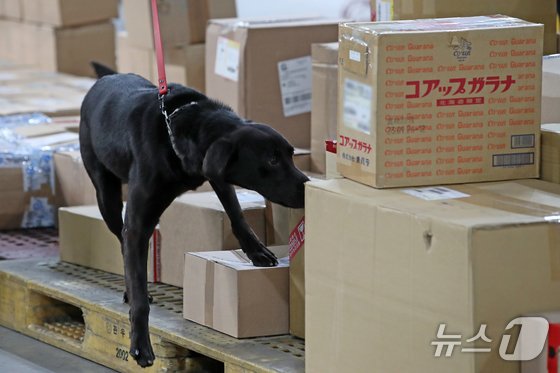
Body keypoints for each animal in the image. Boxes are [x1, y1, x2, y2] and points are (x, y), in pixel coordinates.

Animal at [79, 64, 308, 366]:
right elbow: (139, 294)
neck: (180, 128)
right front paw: (141, 344)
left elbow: (236, 212)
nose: (308, 186)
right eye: (271, 160)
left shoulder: (215, 170)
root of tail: (105, 79)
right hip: (106, 194)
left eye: (291, 155)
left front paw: (256, 250)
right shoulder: (138, 224)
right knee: (121, 240)